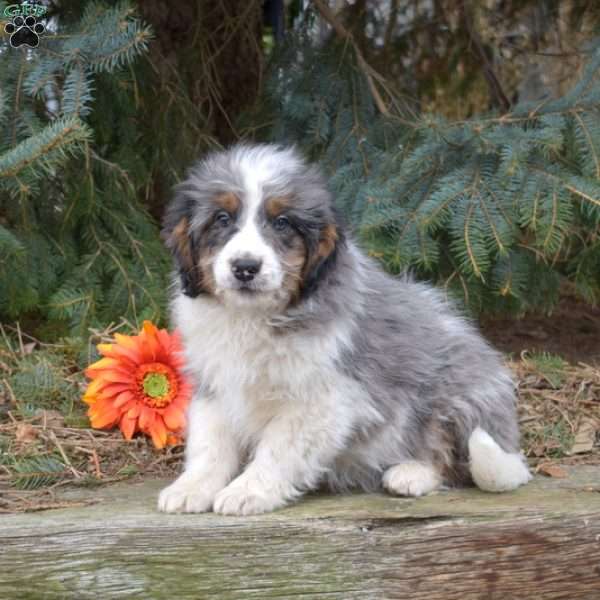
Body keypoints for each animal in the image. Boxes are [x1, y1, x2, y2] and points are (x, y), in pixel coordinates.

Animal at [156, 144, 528, 516]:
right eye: (222, 218)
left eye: (282, 222)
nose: (245, 267)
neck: (253, 317)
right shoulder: (216, 383)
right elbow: (210, 444)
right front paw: (191, 487)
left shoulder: (321, 399)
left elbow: (278, 449)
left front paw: (248, 490)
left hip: (457, 392)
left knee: (452, 458)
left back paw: (412, 473)